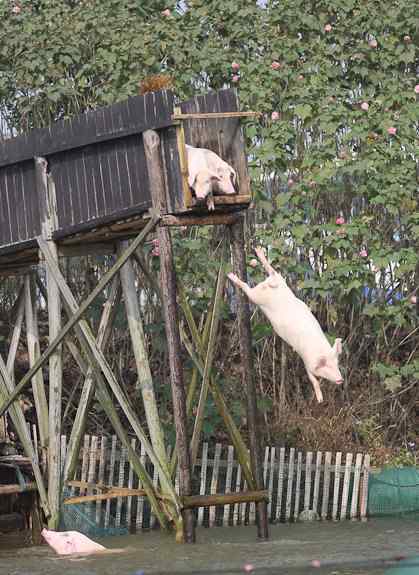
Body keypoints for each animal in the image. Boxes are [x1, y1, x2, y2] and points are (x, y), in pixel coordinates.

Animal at [230, 248, 344, 404]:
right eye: (327, 366)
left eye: (337, 363)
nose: (341, 379)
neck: (318, 351)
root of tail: (269, 285)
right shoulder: (307, 362)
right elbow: (312, 379)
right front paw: (320, 400)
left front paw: (320, 399)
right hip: (257, 296)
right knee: (247, 288)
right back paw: (232, 276)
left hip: (280, 282)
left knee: (272, 270)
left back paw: (259, 251)